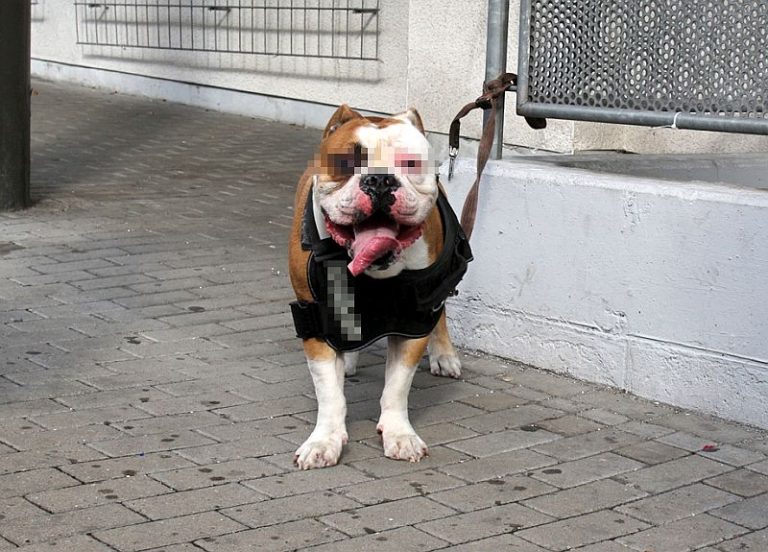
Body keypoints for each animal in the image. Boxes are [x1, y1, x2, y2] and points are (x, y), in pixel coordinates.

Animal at [286, 104, 462, 470]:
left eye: (410, 163)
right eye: (345, 162)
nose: (379, 179)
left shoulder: (413, 321)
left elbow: (396, 386)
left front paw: (399, 434)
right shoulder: (315, 322)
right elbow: (329, 392)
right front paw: (324, 440)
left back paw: (444, 356)